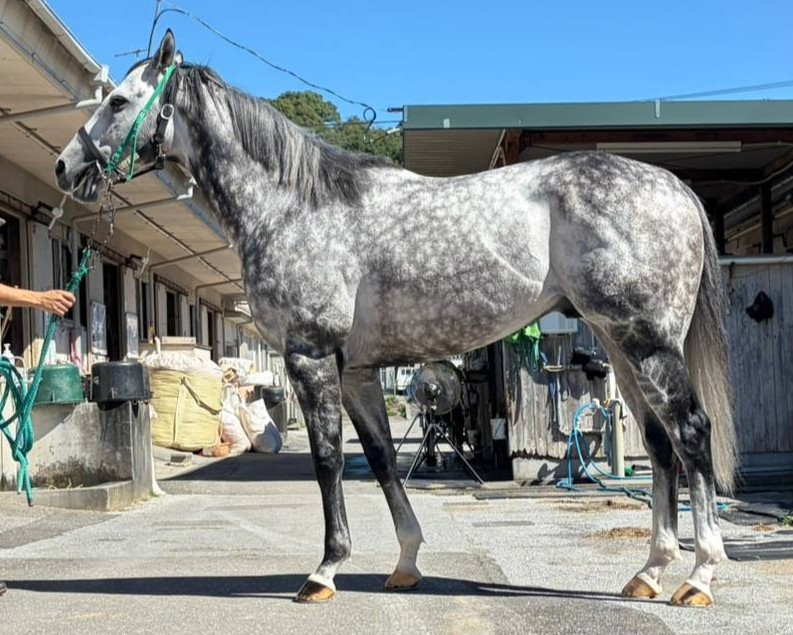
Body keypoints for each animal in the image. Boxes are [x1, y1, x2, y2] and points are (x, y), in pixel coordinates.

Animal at [52, 30, 736, 607]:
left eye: (119, 101)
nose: (65, 166)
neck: (296, 206)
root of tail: (672, 186)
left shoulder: (310, 358)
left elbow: (328, 461)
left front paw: (324, 572)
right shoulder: (356, 373)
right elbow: (380, 462)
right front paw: (405, 563)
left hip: (647, 344)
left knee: (692, 433)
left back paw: (699, 577)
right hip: (622, 348)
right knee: (661, 445)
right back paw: (649, 573)